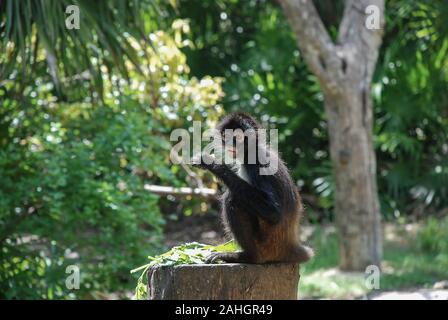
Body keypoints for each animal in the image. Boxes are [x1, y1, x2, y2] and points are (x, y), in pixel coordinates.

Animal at [191, 112, 314, 264]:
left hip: (265, 243)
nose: (231, 144)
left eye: (237, 137)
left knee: (232, 198)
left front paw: (212, 164)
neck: (251, 152)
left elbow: (274, 213)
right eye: (226, 136)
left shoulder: (258, 164)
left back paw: (248, 257)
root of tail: (289, 246)